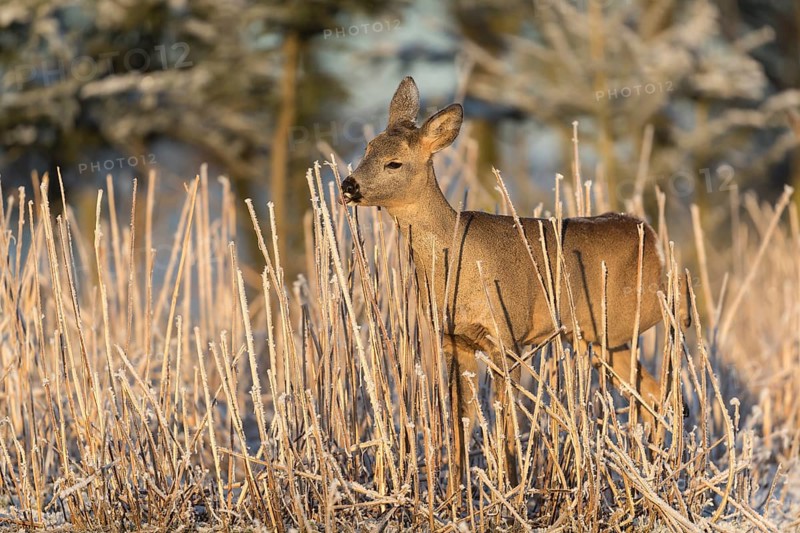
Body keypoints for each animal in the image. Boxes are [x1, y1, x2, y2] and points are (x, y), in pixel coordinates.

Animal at [340, 76, 690, 492]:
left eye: (394, 162)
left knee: (673, 327)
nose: (348, 185)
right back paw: (654, 467)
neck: (455, 259)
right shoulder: (454, 339)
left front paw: (510, 487)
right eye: (367, 149)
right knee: (652, 393)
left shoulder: (508, 336)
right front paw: (455, 493)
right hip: (602, 339)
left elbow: (507, 421)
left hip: (632, 312)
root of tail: (650, 234)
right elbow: (460, 420)